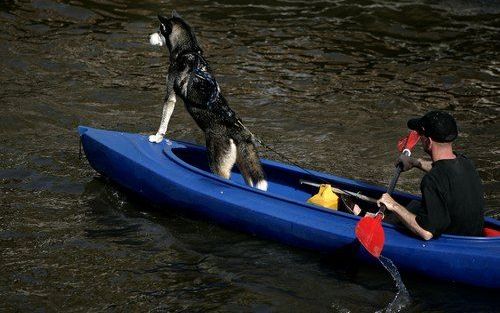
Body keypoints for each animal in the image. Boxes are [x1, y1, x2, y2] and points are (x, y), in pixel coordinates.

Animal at [147, 11, 268, 190]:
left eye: (159, 29)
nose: (148, 36)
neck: (187, 50)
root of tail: (239, 131)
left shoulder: (170, 95)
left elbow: (163, 123)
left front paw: (157, 138)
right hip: (244, 166)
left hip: (218, 165)